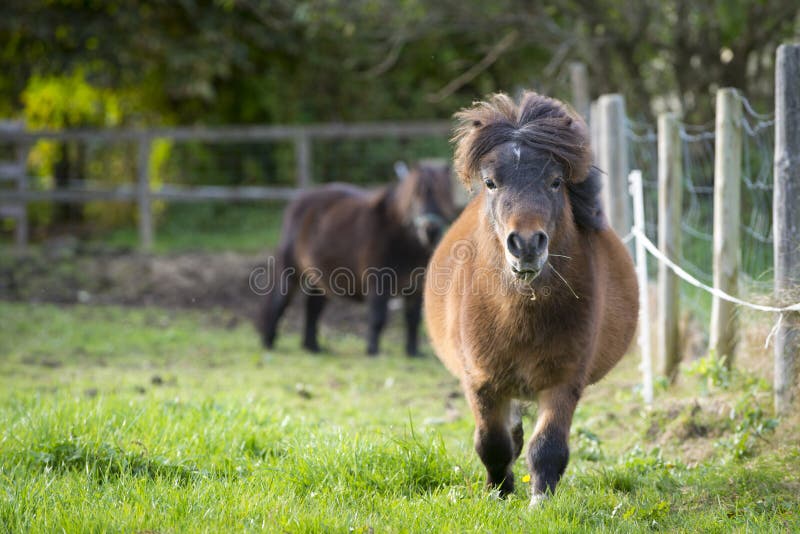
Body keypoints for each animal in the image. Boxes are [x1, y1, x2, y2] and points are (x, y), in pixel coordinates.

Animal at [262, 161, 456, 358]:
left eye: (445, 195)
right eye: (416, 195)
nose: (430, 230)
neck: (402, 240)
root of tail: (297, 202)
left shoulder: (415, 288)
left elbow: (413, 320)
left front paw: (413, 352)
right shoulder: (378, 283)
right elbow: (378, 317)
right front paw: (373, 351)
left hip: (320, 277)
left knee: (313, 308)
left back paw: (312, 347)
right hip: (291, 271)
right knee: (280, 302)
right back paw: (268, 342)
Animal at [424, 91, 636, 506]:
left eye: (555, 182)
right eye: (490, 182)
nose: (525, 245)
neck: (520, 313)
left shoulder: (564, 381)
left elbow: (547, 446)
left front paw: (540, 503)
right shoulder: (481, 383)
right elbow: (492, 445)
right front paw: (499, 494)